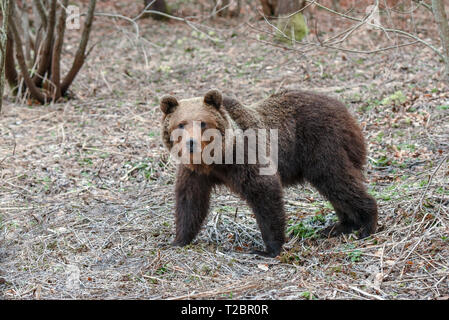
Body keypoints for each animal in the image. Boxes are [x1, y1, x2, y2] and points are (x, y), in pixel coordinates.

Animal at [159, 88, 376, 258]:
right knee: (335, 188)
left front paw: (268, 249)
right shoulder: (194, 173)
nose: (191, 143)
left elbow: (265, 193)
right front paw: (178, 240)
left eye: (203, 122)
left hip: (322, 143)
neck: (215, 160)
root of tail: (344, 110)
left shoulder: (246, 157)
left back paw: (366, 224)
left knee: (336, 179)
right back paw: (341, 226)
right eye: (181, 124)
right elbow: (190, 201)